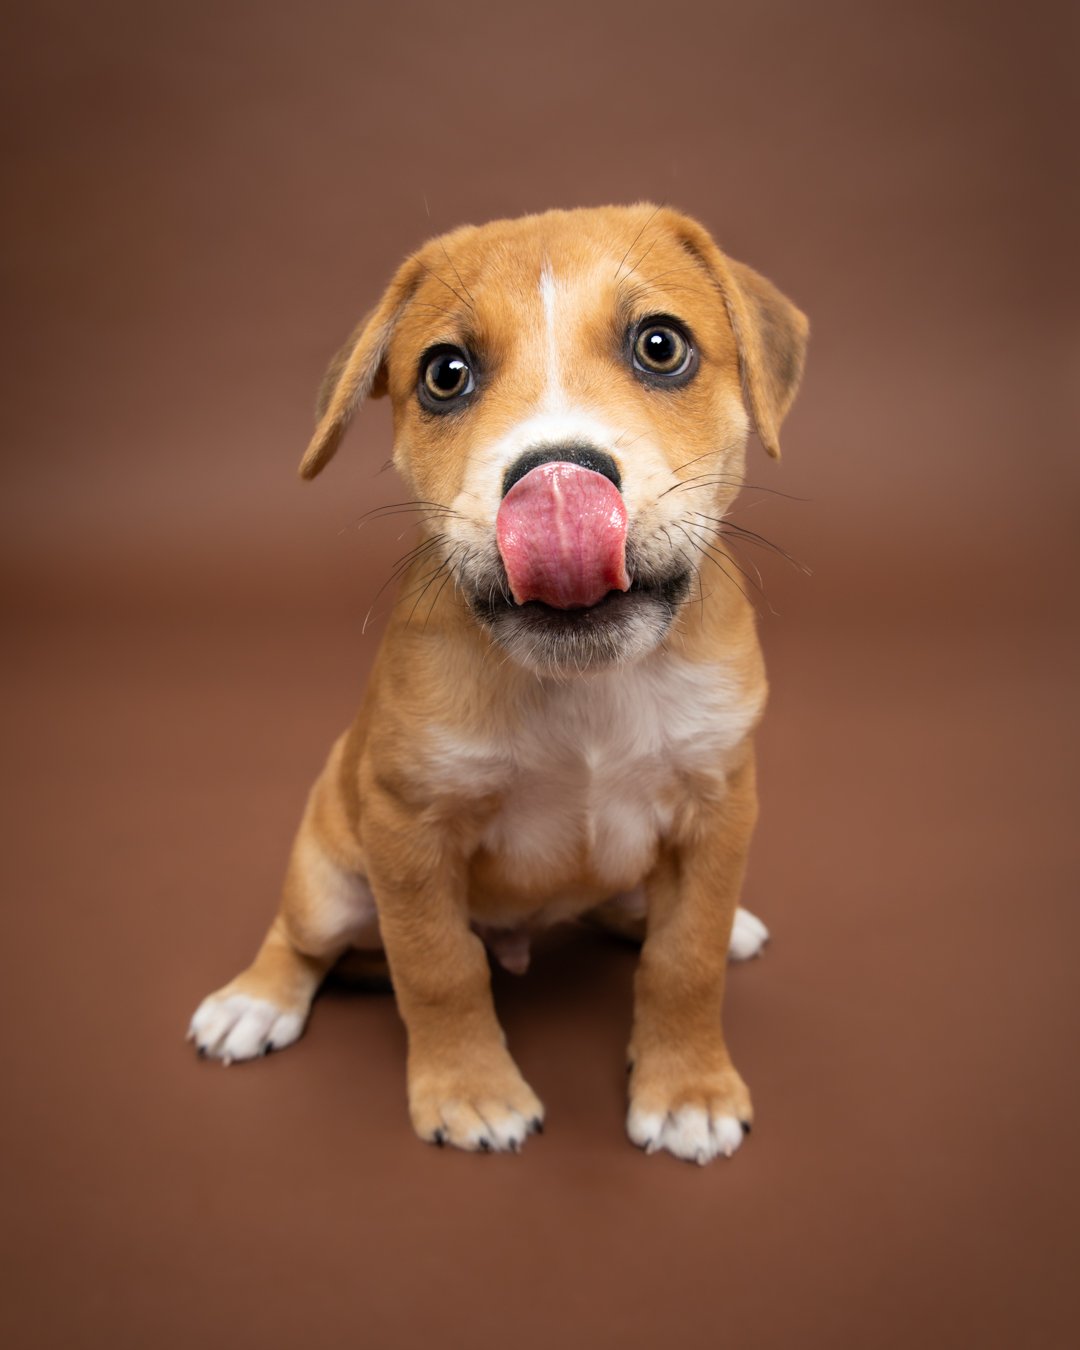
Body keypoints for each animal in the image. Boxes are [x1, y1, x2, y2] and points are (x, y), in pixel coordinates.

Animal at [188, 204, 808, 1164]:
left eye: (661, 346)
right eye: (446, 374)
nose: (556, 480)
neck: (587, 689)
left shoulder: (719, 807)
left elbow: (685, 959)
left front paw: (688, 1089)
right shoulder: (408, 831)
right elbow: (440, 971)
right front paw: (470, 1092)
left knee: (637, 915)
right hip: (329, 873)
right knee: (300, 939)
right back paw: (254, 1000)